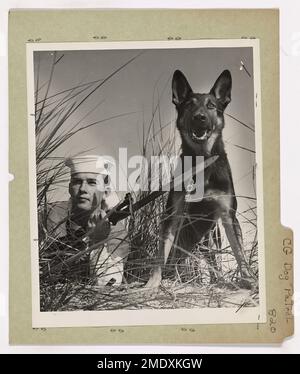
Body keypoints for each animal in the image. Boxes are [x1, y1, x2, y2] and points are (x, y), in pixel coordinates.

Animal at [145, 71, 255, 292]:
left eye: (211, 105)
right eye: (189, 105)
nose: (200, 117)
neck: (202, 162)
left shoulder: (228, 214)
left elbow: (239, 252)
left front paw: (249, 280)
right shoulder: (172, 214)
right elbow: (161, 255)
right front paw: (153, 282)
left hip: (212, 235)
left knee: (214, 260)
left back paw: (219, 281)